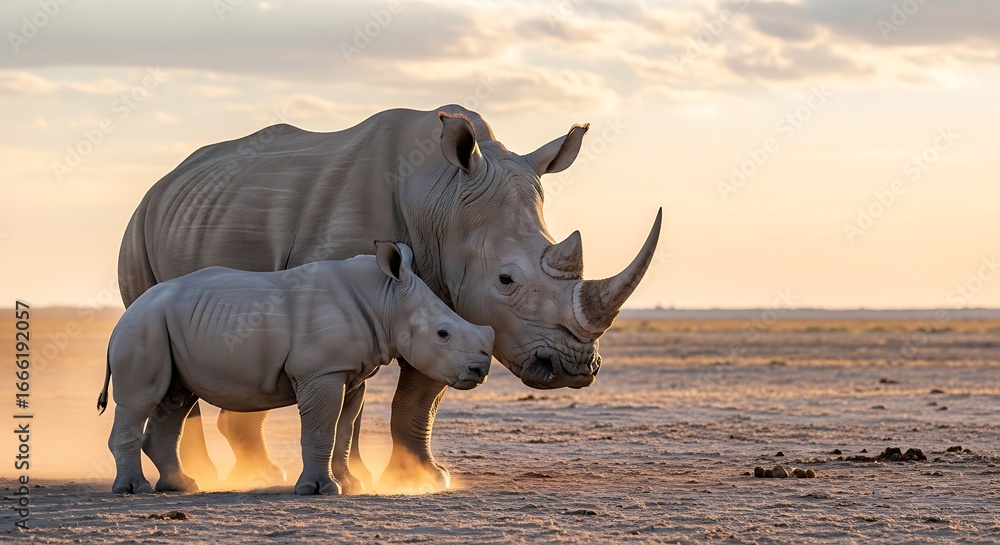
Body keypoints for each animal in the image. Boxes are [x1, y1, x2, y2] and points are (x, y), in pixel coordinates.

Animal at [100, 242, 494, 495]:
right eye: (443, 333)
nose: (479, 370)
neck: (385, 300)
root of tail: (122, 318)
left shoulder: (349, 372)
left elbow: (342, 431)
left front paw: (349, 485)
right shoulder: (321, 372)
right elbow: (321, 429)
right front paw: (318, 489)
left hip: (163, 326)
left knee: (176, 399)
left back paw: (181, 487)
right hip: (144, 326)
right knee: (142, 399)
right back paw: (134, 490)